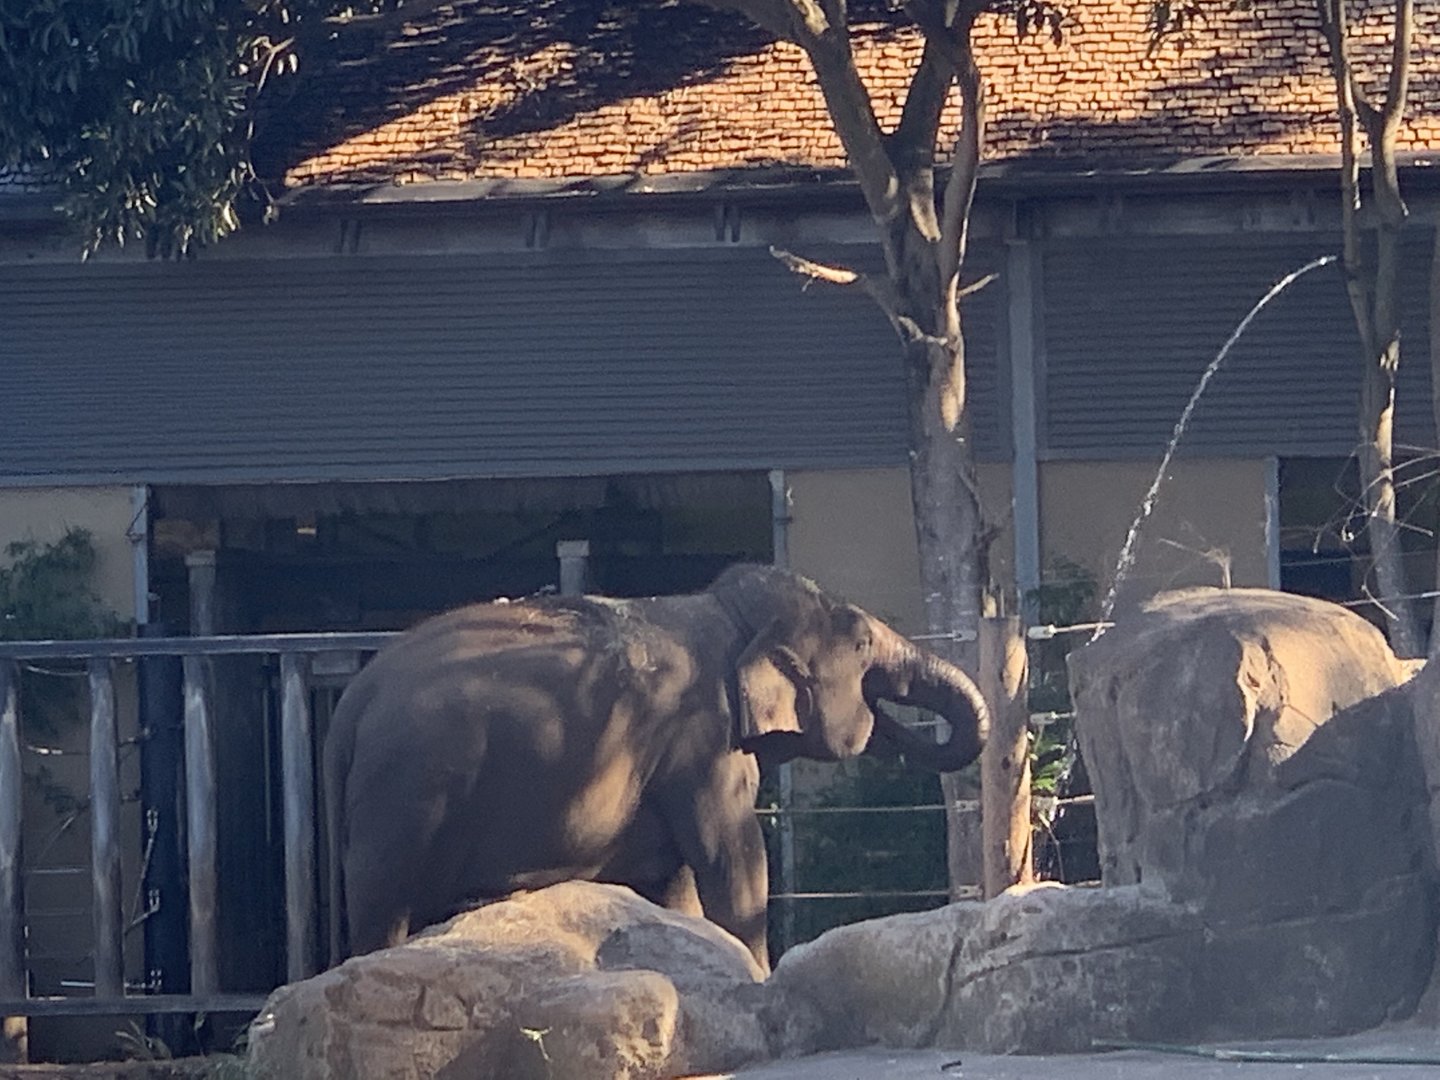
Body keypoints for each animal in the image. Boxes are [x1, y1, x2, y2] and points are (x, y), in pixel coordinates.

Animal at [323, 563, 988, 973]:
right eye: (861, 645)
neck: (726, 612)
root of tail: (352, 705)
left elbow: (679, 879)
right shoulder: (703, 739)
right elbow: (734, 860)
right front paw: (758, 977)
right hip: (407, 797)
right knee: (385, 905)